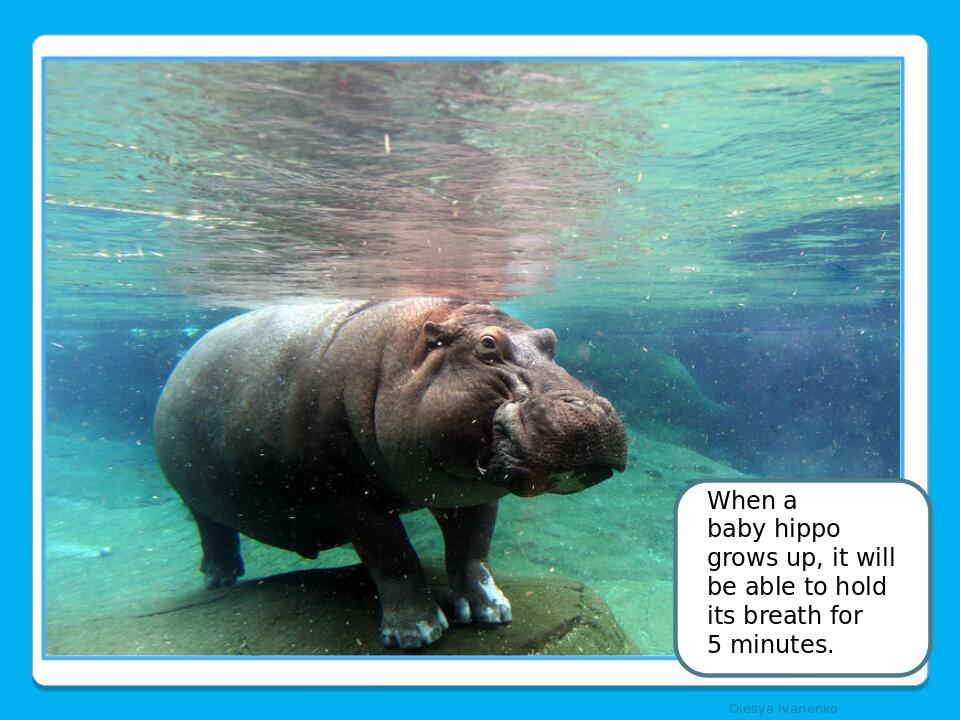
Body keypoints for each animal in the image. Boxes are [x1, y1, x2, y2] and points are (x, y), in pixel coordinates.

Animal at [154, 298, 627, 649]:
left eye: (550, 340)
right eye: (487, 345)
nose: (591, 412)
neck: (402, 355)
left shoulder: (472, 492)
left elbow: (472, 549)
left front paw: (492, 612)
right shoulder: (349, 495)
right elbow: (392, 555)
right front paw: (418, 634)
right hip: (193, 493)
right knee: (212, 530)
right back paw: (219, 580)